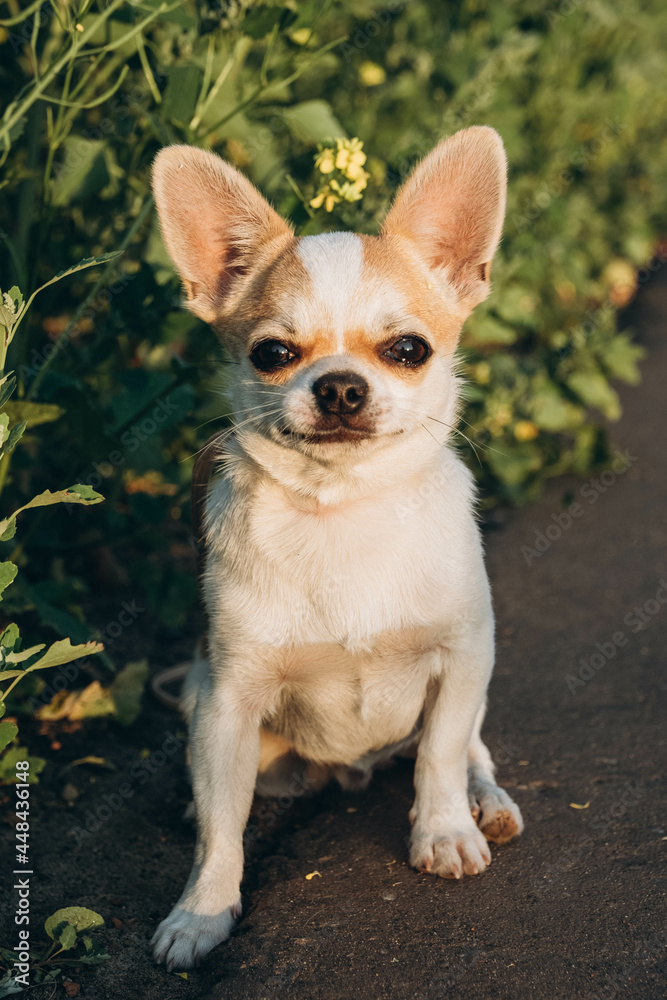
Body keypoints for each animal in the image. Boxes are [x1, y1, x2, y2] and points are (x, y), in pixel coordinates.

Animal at [151, 125, 528, 968]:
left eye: (409, 349)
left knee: (469, 747)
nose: (340, 385)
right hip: (206, 703)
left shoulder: (464, 656)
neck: (343, 511)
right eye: (271, 354)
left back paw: (484, 801)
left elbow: (441, 753)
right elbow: (224, 828)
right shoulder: (225, 701)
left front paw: (442, 830)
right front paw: (202, 910)